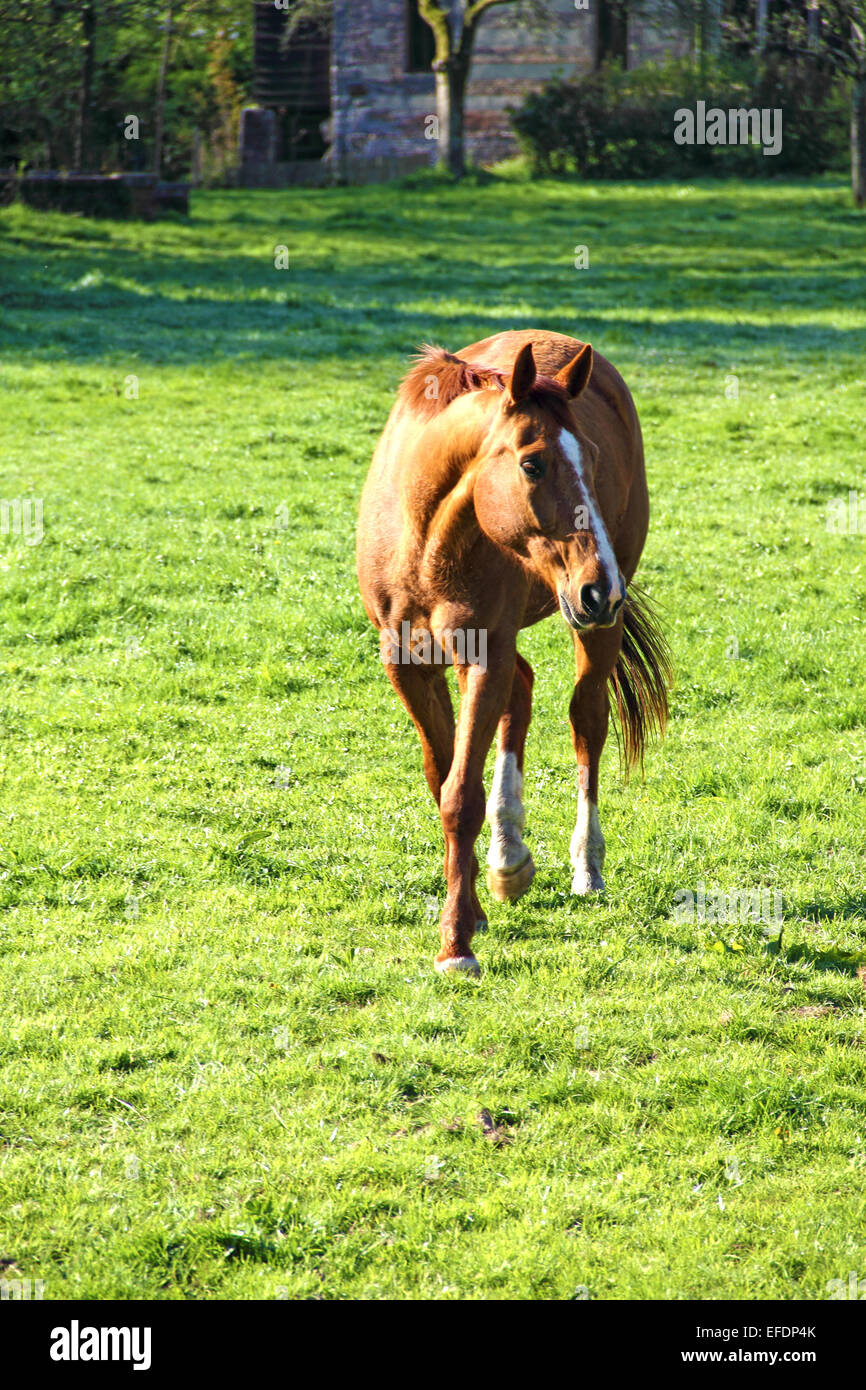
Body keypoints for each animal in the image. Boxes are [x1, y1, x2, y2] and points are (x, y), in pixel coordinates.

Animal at [356, 330, 671, 976]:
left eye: (593, 460)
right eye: (532, 462)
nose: (601, 587)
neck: (424, 538)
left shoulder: (484, 656)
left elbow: (461, 796)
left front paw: (456, 944)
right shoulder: (408, 666)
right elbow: (445, 780)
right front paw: (473, 907)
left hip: (590, 628)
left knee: (586, 719)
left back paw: (585, 865)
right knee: (520, 696)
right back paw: (509, 856)